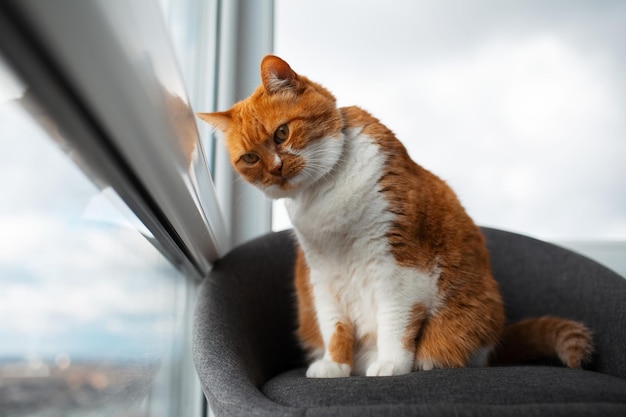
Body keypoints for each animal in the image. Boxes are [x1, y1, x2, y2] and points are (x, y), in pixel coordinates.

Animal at [197, 54, 592, 376]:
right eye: (250, 158)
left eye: (282, 133)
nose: (276, 170)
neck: (323, 196)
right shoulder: (323, 278)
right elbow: (334, 326)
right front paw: (335, 366)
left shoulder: (398, 268)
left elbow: (395, 322)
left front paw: (390, 364)